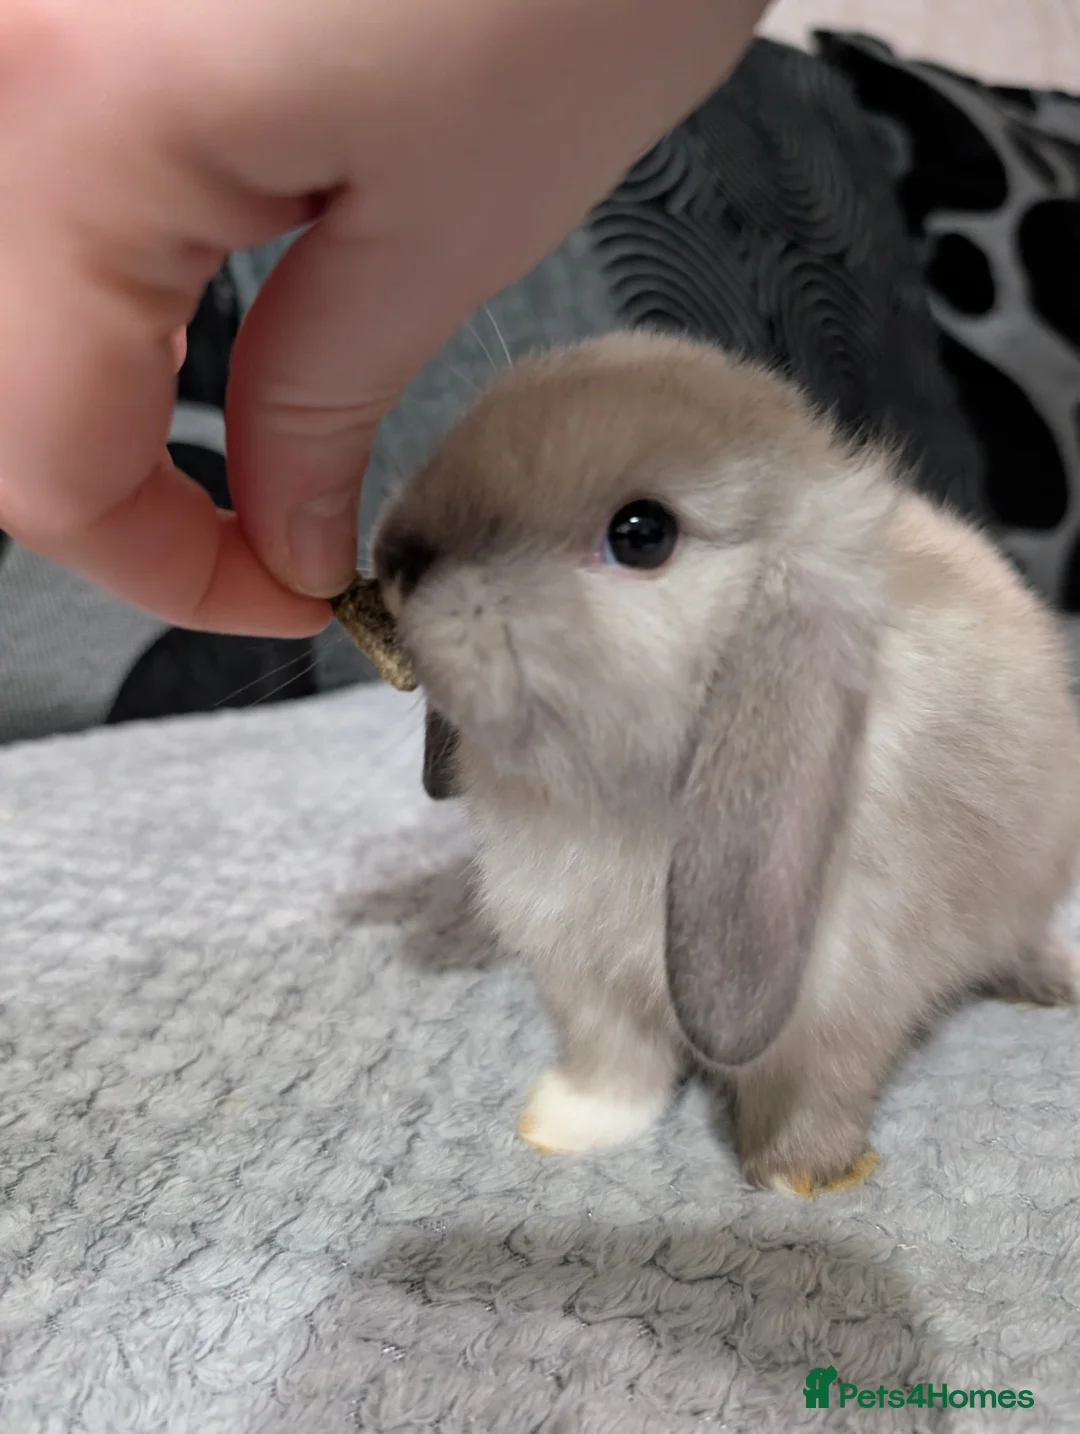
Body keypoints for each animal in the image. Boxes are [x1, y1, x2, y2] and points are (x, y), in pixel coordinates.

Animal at [371, 329, 1080, 1194]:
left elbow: (814, 1090)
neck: (615, 800)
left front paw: (796, 1176)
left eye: (642, 534)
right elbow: (616, 1065)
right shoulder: (588, 983)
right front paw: (564, 1128)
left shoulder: (838, 1001)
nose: (396, 555)